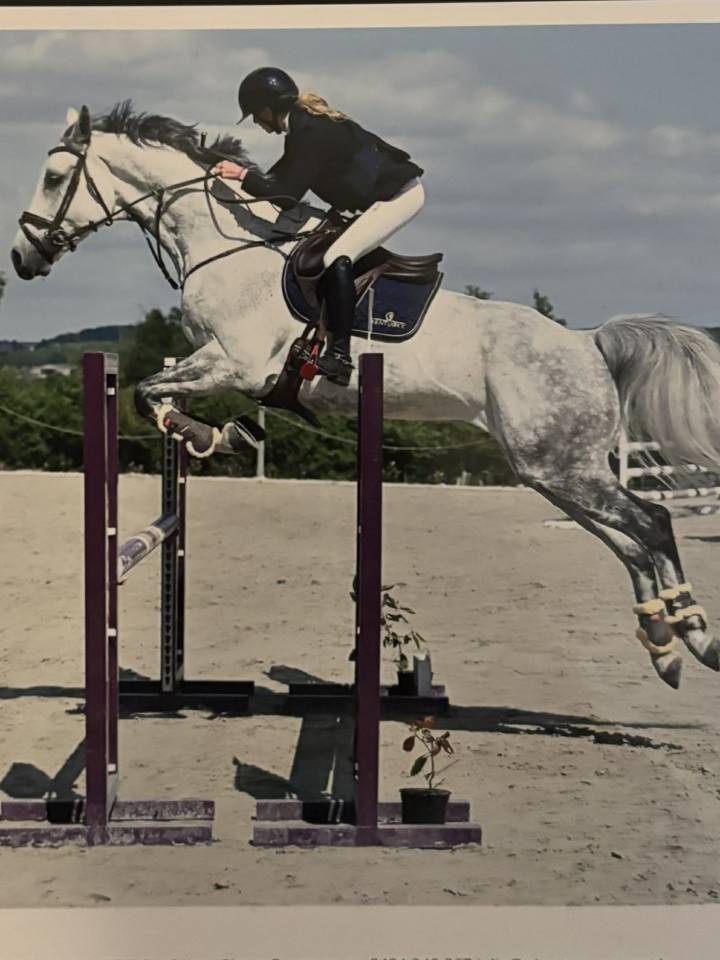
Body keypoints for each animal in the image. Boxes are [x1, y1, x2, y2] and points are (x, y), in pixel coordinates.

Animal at [11, 101, 720, 690]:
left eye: (53, 176)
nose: (22, 258)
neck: (224, 245)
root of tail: (589, 342)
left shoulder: (234, 363)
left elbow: (147, 394)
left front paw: (212, 436)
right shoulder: (226, 366)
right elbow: (158, 396)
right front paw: (227, 434)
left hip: (560, 465)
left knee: (649, 525)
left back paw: (694, 634)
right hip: (549, 469)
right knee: (628, 542)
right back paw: (662, 642)